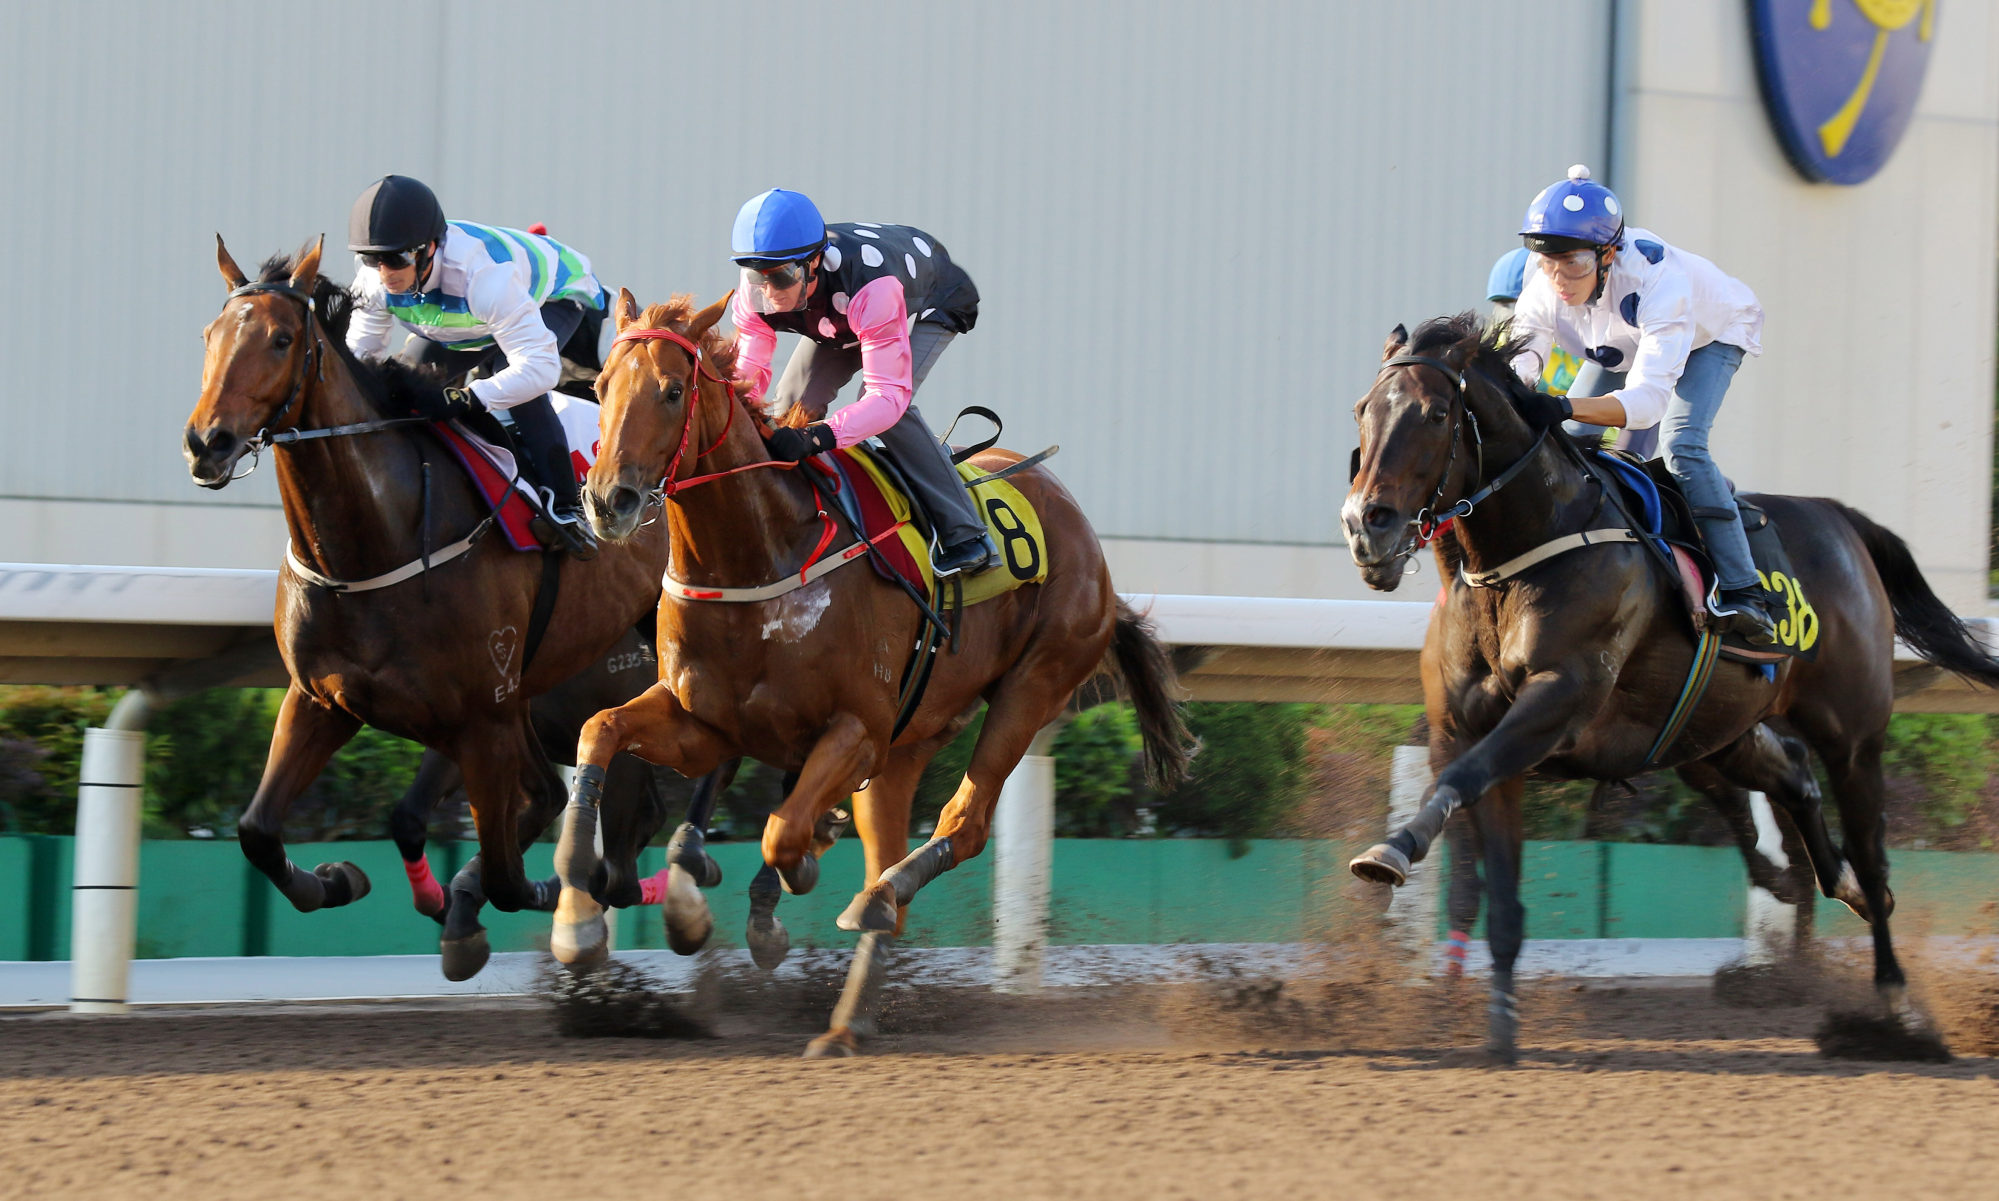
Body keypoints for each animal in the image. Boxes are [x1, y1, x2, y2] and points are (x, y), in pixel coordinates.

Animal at [183, 236, 695, 975]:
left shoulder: (479, 720)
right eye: (210, 336)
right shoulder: (322, 699)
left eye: (281, 340)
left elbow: (511, 875)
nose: (208, 443)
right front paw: (338, 879)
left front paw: (526, 902)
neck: (373, 543)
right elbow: (257, 829)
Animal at [555, 287, 1191, 1047]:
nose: (607, 500)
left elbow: (781, 830)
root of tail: (1082, 529)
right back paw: (849, 1016)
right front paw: (578, 918)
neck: (758, 555)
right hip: (913, 736)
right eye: (599, 387)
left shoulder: (855, 729)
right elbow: (599, 729)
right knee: (889, 848)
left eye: (672, 390)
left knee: (961, 825)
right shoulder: (705, 723)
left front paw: (788, 877)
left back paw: (873, 904)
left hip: (1034, 683)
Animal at [1343, 311, 1999, 1055]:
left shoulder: (1557, 699)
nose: (1365, 526)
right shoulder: (1467, 731)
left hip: (1853, 736)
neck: (1517, 557)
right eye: (1363, 410)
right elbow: (1484, 860)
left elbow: (1457, 786)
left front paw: (1390, 852)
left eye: (1433, 413)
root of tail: (1840, 517)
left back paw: (1893, 999)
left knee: (1870, 851)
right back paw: (1838, 892)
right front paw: (1500, 1033)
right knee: (1796, 779)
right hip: (1716, 730)